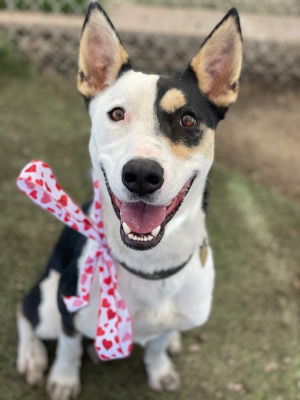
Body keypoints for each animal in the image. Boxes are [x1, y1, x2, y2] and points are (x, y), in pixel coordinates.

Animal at [16, 2, 243, 396]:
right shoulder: (67, 307)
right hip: (47, 297)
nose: (141, 175)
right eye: (117, 114)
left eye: (187, 120)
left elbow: (156, 345)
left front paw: (160, 367)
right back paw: (32, 356)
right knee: (25, 311)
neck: (151, 266)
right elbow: (69, 346)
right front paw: (63, 378)